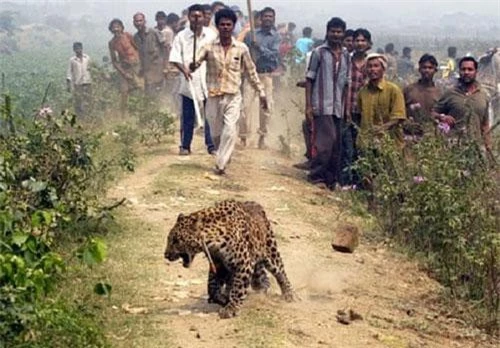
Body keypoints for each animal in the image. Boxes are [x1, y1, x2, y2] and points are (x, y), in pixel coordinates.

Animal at [164, 198, 296, 318]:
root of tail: (255, 204)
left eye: (176, 240)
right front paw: (221, 299)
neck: (212, 240)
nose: (166, 255)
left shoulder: (243, 263)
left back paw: (289, 294)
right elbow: (212, 286)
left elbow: (238, 287)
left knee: (281, 273)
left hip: (271, 251)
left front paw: (231, 308)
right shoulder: (218, 264)